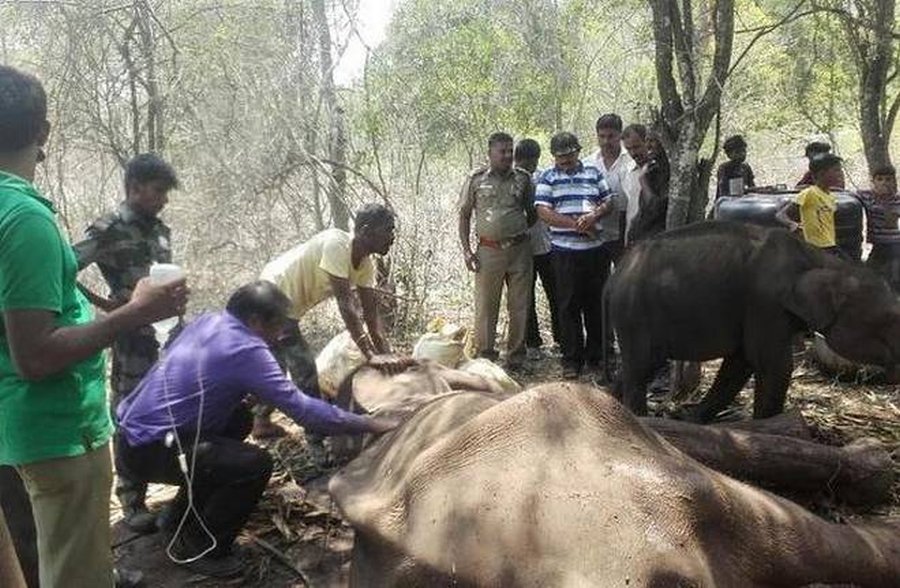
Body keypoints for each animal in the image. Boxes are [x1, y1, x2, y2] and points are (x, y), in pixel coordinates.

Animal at [604, 218, 900, 420]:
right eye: (890, 318)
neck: (818, 258)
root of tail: (615, 274)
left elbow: (740, 363)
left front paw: (692, 420)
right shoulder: (765, 303)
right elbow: (774, 366)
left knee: (638, 366)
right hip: (634, 312)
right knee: (640, 367)